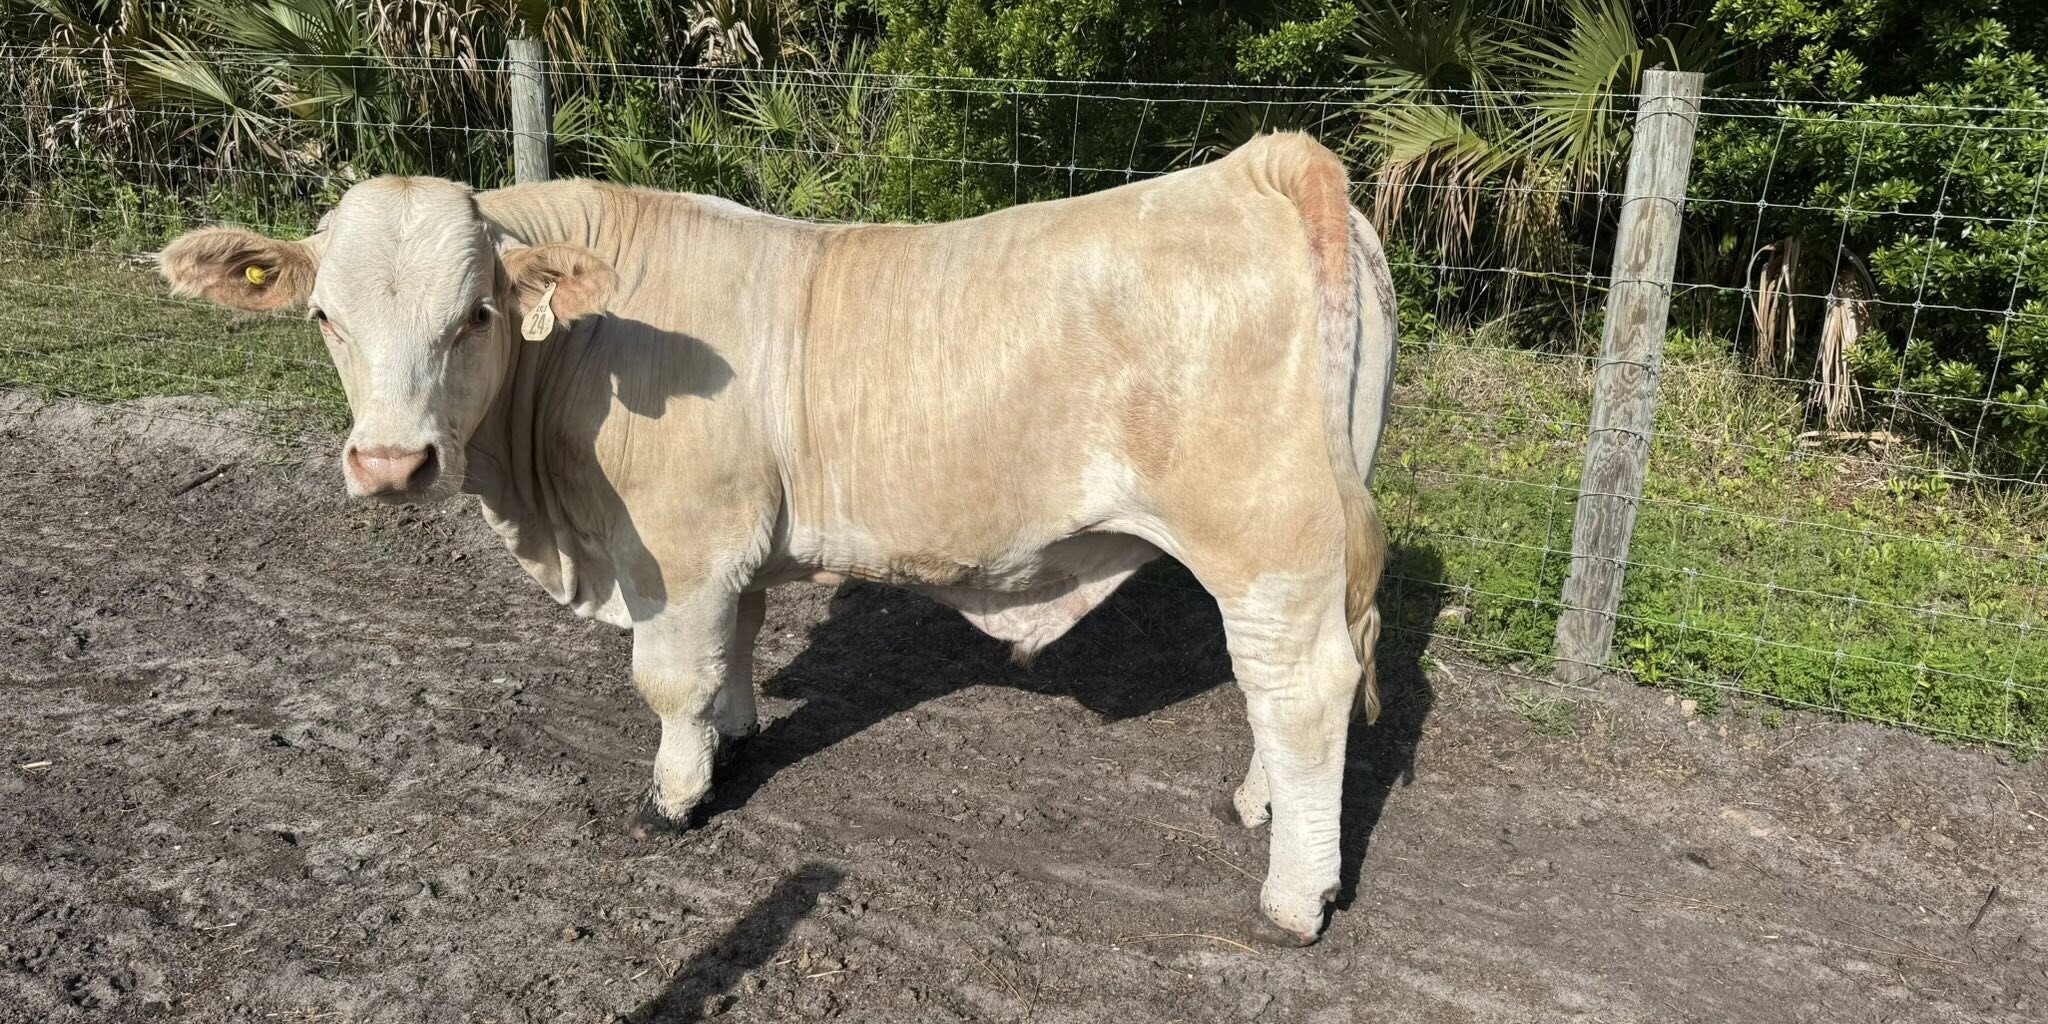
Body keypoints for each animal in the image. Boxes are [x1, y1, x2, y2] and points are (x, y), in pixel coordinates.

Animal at [157, 131, 1399, 945]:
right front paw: (736, 733)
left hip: (1265, 532)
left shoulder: (679, 540)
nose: (389, 465)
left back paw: (1293, 898)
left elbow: (667, 677)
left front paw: (675, 797)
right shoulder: (731, 541)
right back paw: (1257, 806)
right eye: (325, 317)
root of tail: (1260, 164)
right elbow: (736, 641)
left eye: (475, 315)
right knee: (1292, 683)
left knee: (1297, 688)